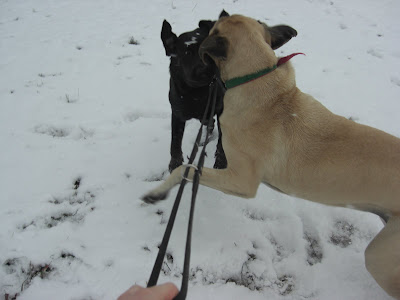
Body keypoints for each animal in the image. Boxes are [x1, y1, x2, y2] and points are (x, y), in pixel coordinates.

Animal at [161, 19, 227, 171]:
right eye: (187, 53)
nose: (205, 69)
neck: (197, 92)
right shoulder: (177, 114)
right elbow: (175, 141)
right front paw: (175, 163)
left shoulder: (222, 109)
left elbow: (222, 139)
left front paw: (221, 160)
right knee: (209, 122)